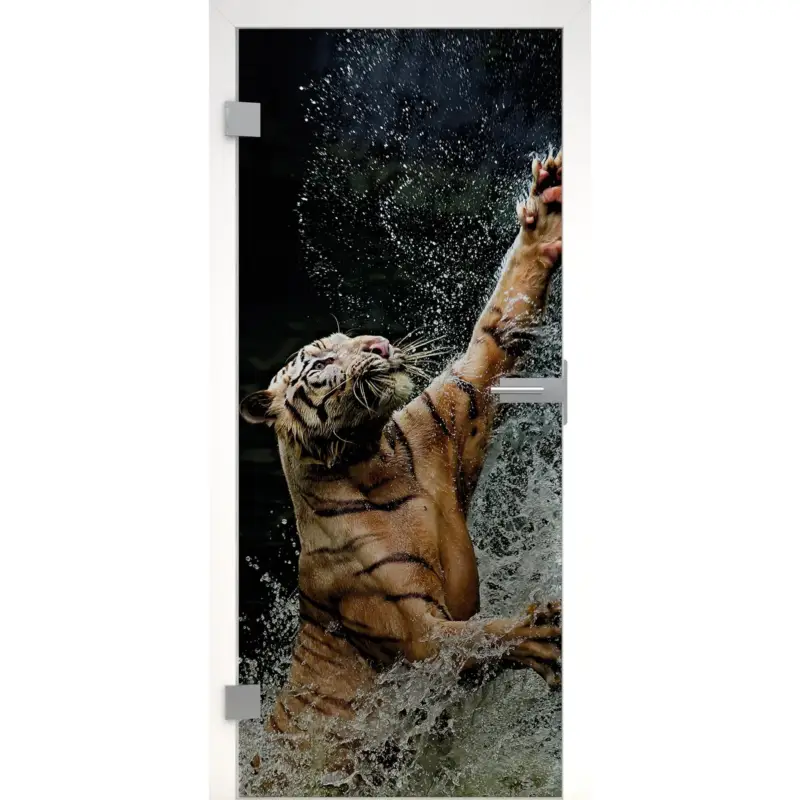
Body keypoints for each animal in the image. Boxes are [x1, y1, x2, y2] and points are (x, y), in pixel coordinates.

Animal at [240, 152, 563, 763]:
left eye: (349, 339)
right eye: (321, 360)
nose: (379, 345)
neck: (375, 458)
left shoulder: (454, 407)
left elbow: (497, 325)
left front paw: (547, 209)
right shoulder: (416, 632)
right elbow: (473, 638)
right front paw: (538, 634)